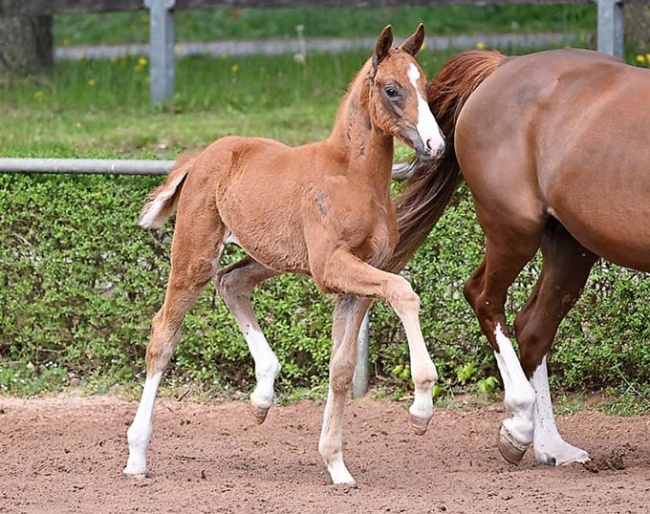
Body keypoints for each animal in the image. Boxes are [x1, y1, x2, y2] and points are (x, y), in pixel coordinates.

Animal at [123, 24, 442, 486]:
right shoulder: (332, 268)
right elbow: (404, 292)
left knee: (231, 281)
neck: (352, 177)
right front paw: (420, 408)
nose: (435, 145)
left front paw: (336, 465)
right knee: (163, 334)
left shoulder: (359, 279)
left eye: (427, 87)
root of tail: (201, 157)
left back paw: (262, 395)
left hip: (268, 256)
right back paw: (136, 455)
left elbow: (342, 369)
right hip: (194, 255)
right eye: (393, 89)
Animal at [388, 49, 648, 468]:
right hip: (514, 230)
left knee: (533, 328)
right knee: (484, 298)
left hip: (570, 247)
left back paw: (552, 448)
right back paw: (518, 426)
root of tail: (503, 65)